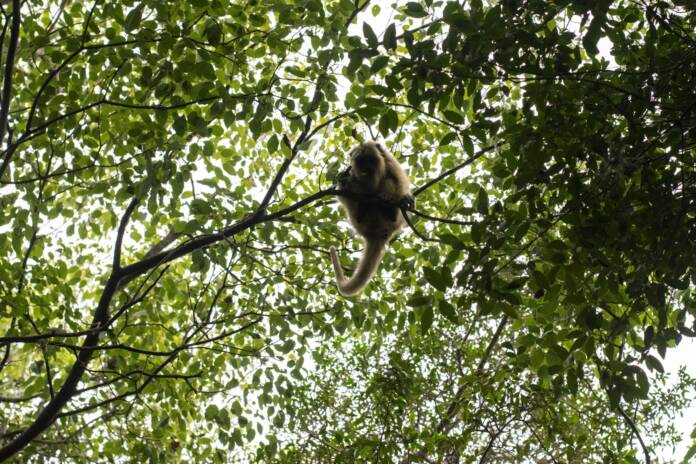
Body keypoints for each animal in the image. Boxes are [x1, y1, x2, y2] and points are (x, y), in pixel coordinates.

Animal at [329, 141, 414, 296]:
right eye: (361, 162)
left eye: (370, 160)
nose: (366, 169)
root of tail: (377, 233)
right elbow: (346, 187)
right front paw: (345, 179)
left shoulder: (390, 162)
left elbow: (399, 181)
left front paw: (405, 198)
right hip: (357, 221)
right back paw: (362, 207)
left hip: (395, 221)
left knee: (389, 181)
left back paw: (389, 208)